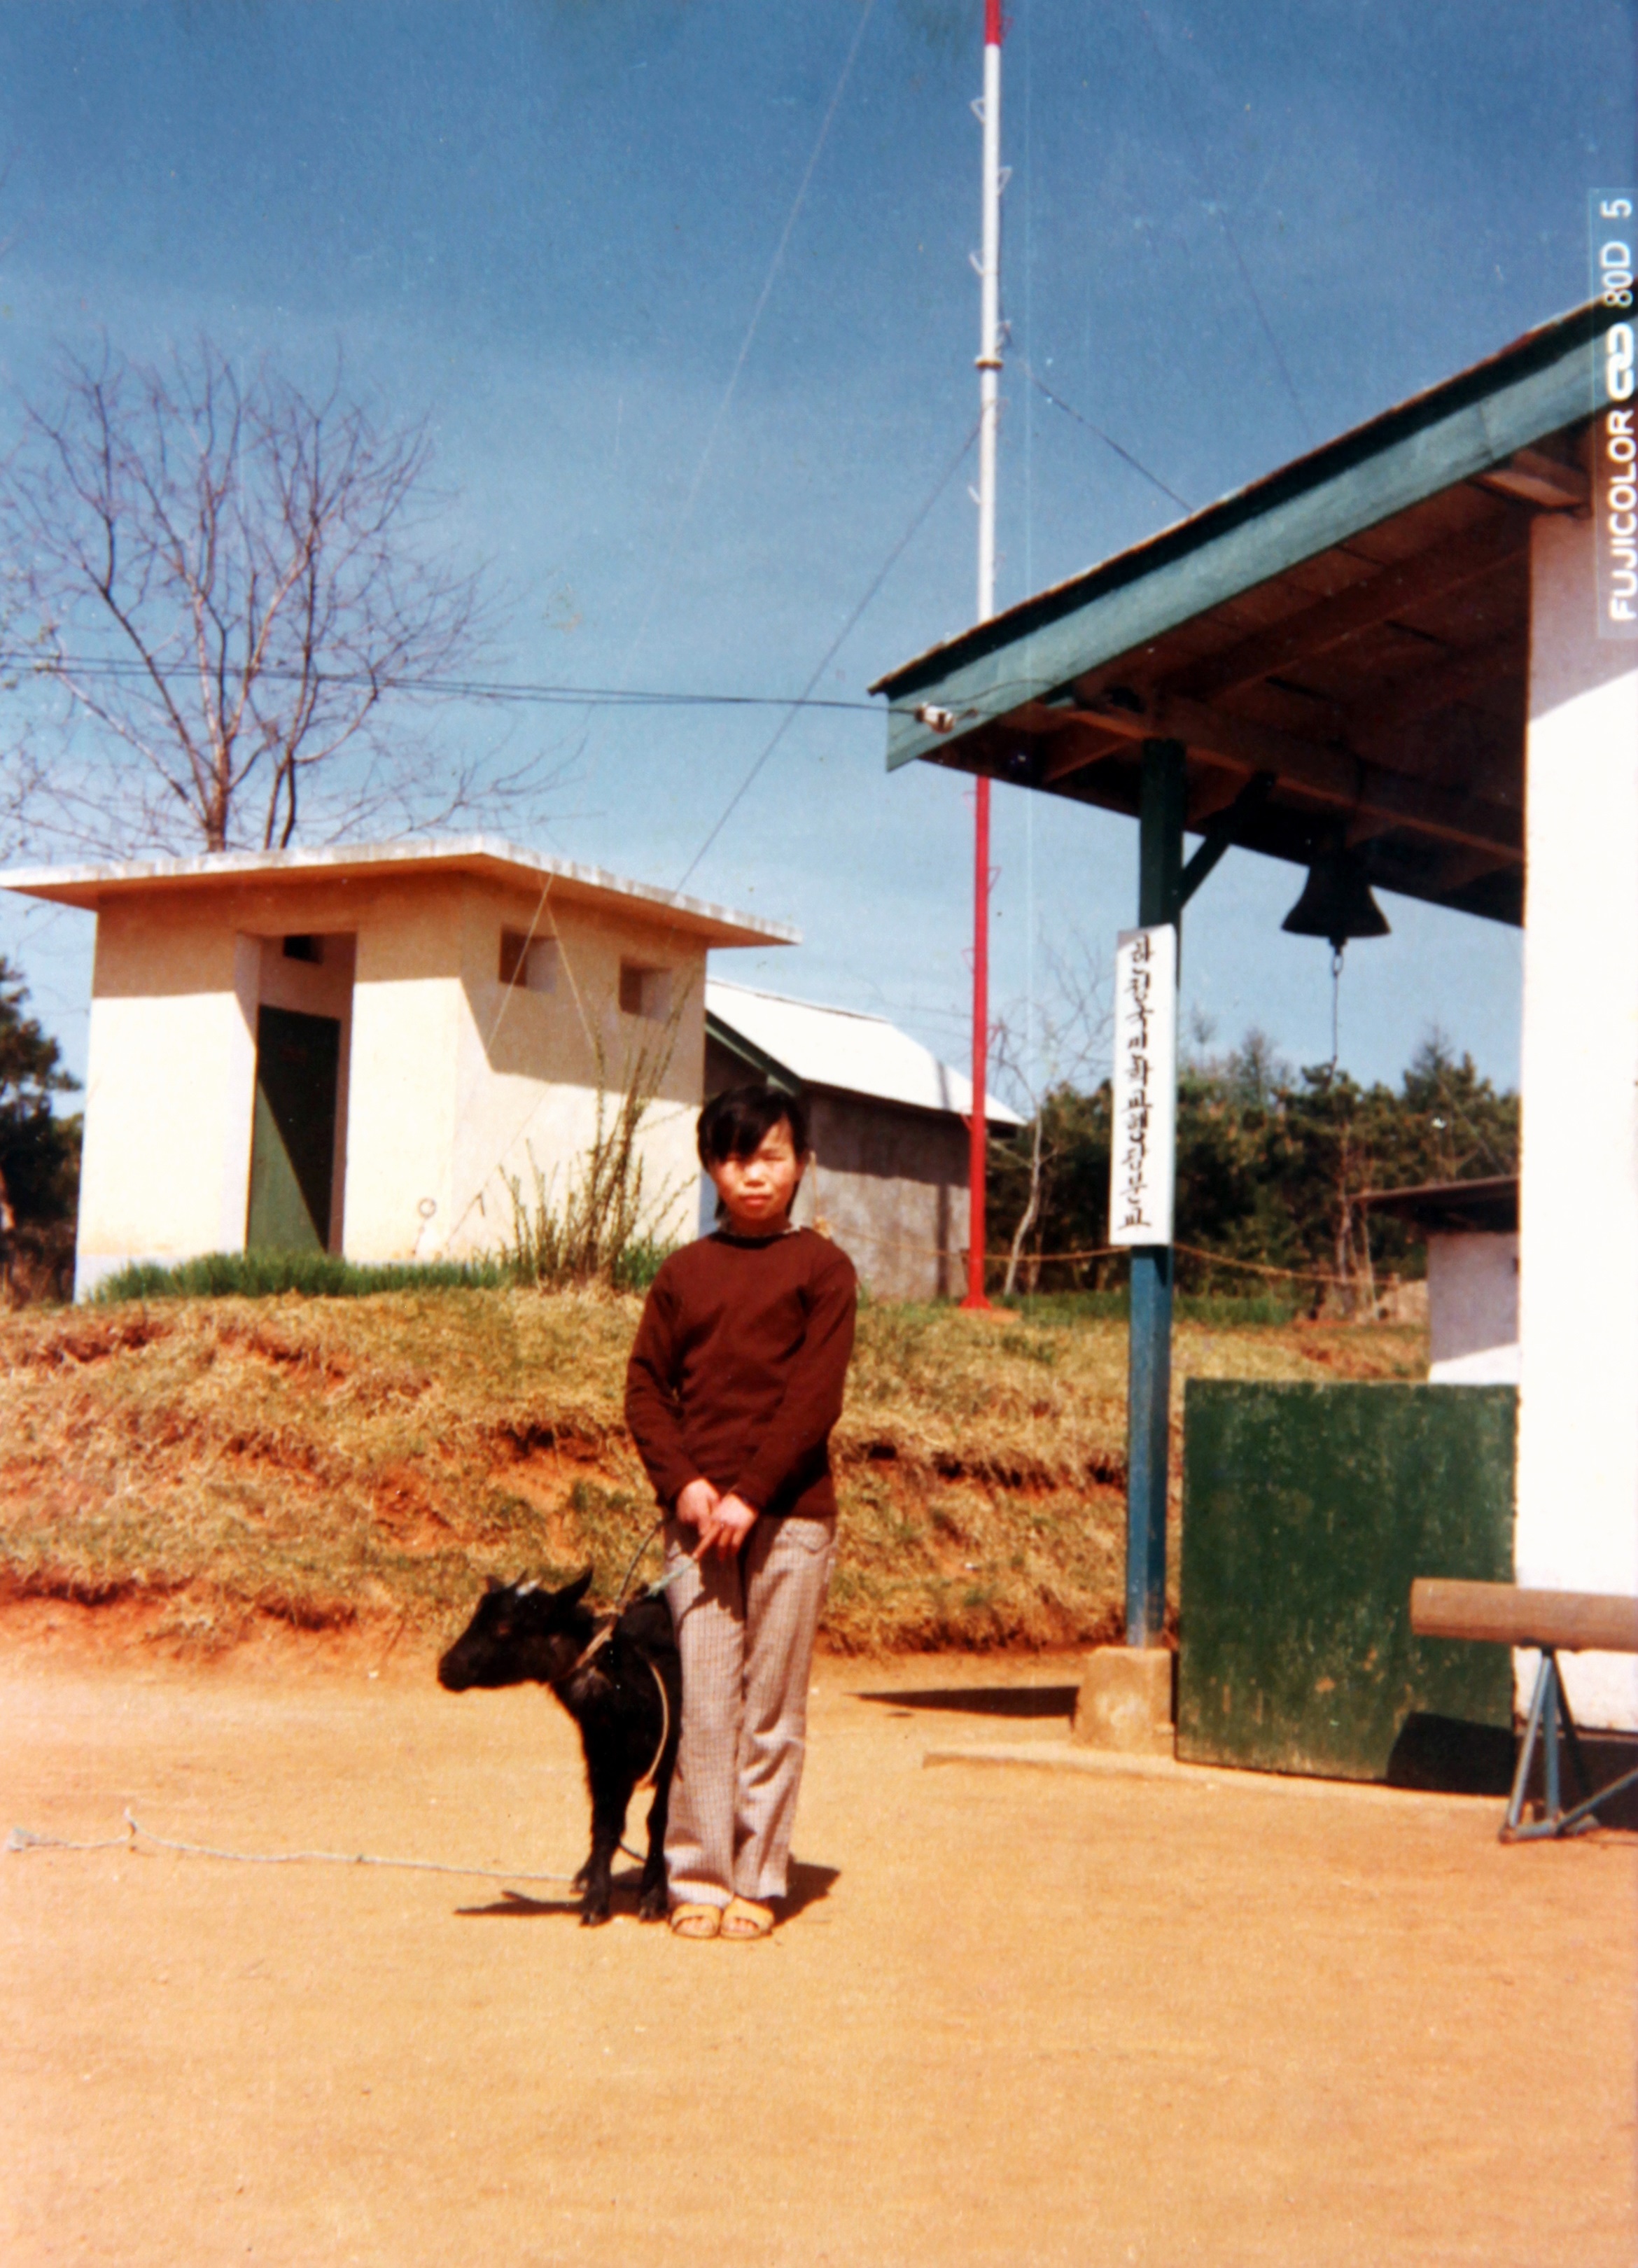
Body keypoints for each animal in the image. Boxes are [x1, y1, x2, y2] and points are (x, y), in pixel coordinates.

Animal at [433, 1578, 676, 1932]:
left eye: (505, 1626)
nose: (446, 1669)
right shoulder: (601, 1759)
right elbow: (605, 1823)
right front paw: (595, 1899)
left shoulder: (672, 1758)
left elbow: (658, 1821)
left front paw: (653, 1897)